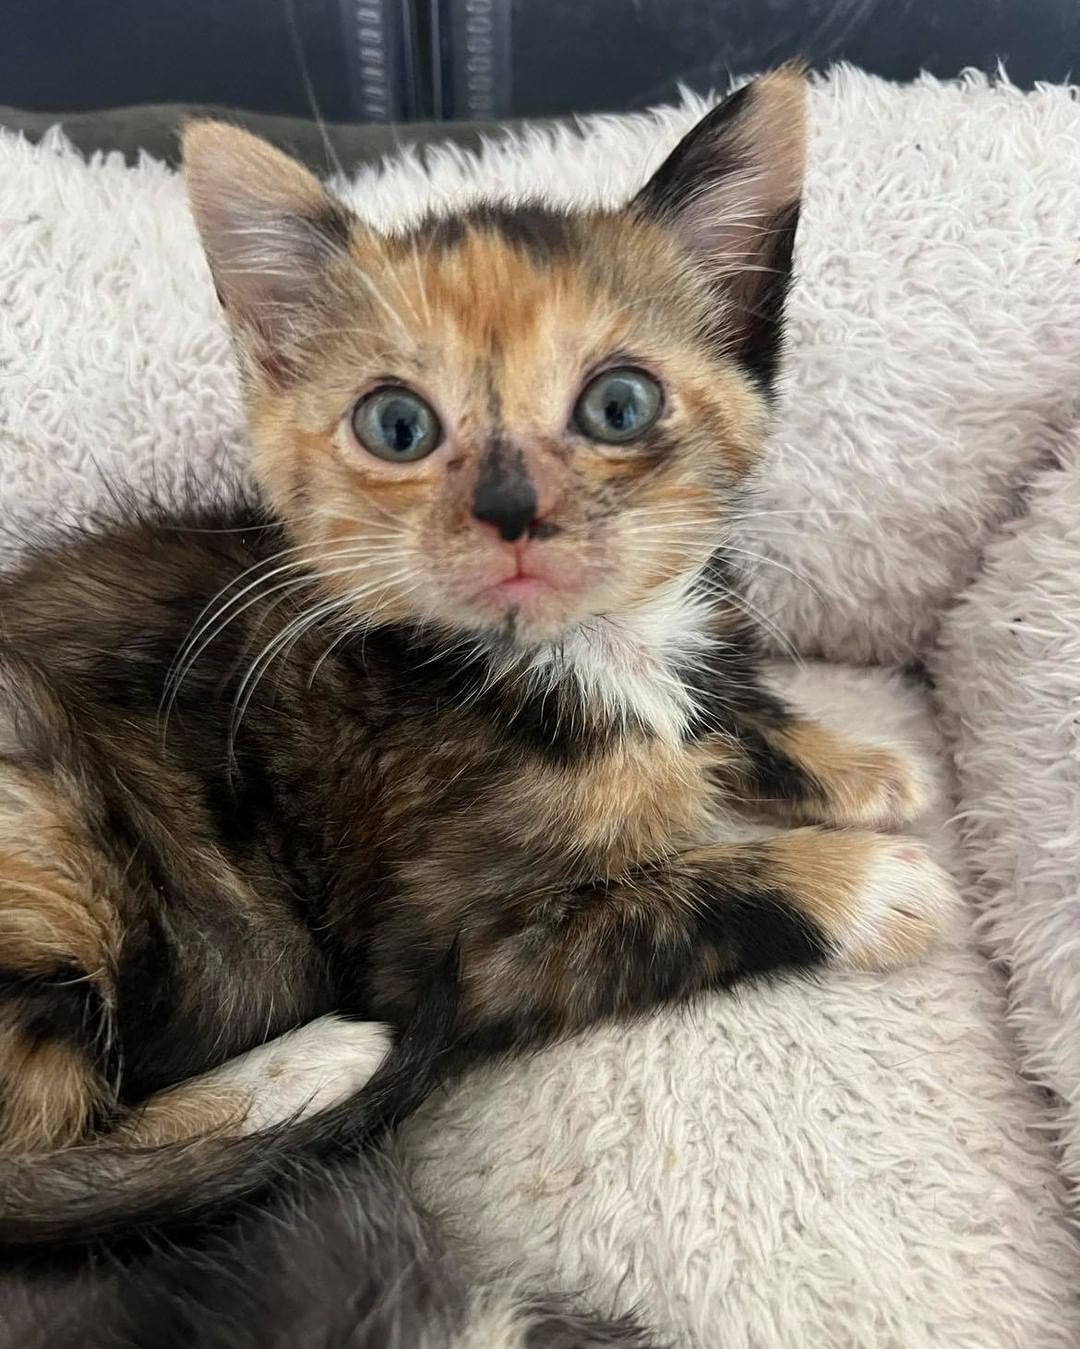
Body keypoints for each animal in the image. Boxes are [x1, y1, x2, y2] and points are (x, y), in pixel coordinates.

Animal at [0, 63, 954, 1241]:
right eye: (397, 425)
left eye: (619, 403)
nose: (510, 510)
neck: (583, 656)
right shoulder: (453, 948)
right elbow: (672, 894)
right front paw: (867, 882)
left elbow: (732, 713)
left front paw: (856, 762)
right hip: (49, 832)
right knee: (47, 1157)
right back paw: (318, 1060)